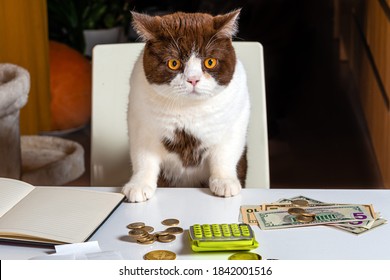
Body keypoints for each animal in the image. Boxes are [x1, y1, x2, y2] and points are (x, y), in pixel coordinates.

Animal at [121, 9, 250, 201]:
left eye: (210, 62)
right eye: (173, 63)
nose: (193, 79)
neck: (189, 109)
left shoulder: (236, 121)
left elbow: (224, 155)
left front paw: (225, 181)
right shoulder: (141, 124)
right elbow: (143, 158)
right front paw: (139, 185)